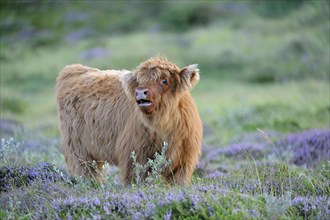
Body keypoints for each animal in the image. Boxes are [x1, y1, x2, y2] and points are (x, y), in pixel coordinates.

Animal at [55, 56, 202, 186]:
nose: (141, 92)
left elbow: (178, 182)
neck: (163, 127)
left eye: (164, 80)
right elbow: (134, 178)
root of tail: (75, 69)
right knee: (87, 171)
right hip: (78, 147)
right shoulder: (134, 154)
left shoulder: (184, 158)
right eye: (139, 81)